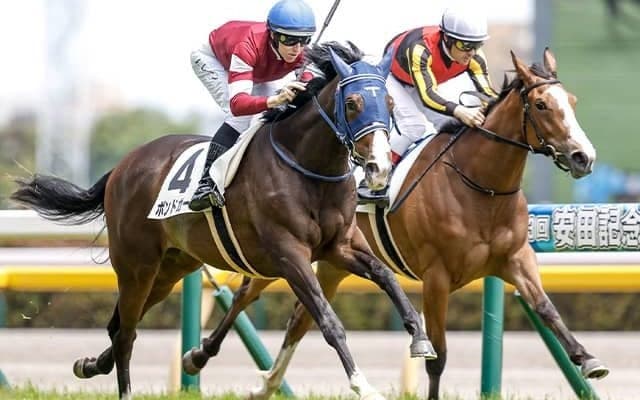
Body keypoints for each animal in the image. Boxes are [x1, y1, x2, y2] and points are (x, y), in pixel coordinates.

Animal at [10, 41, 437, 400]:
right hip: (136, 265)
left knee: (119, 327)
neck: (309, 167)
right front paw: (363, 383)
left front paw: (420, 339)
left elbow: (385, 277)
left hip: (171, 268)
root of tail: (123, 166)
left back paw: (90, 365)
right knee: (128, 331)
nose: (378, 169)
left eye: (390, 104)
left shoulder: (340, 245)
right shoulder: (289, 254)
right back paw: (126, 390)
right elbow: (327, 319)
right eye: (352, 104)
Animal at [191, 48, 609, 400]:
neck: (479, 187)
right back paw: (201, 356)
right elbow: (438, 356)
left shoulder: (516, 259)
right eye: (541, 104)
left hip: (329, 262)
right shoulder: (437, 277)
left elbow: (547, 309)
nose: (583, 157)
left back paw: (266, 383)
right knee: (247, 295)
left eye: (571, 102)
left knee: (298, 318)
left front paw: (587, 358)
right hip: (280, 255)